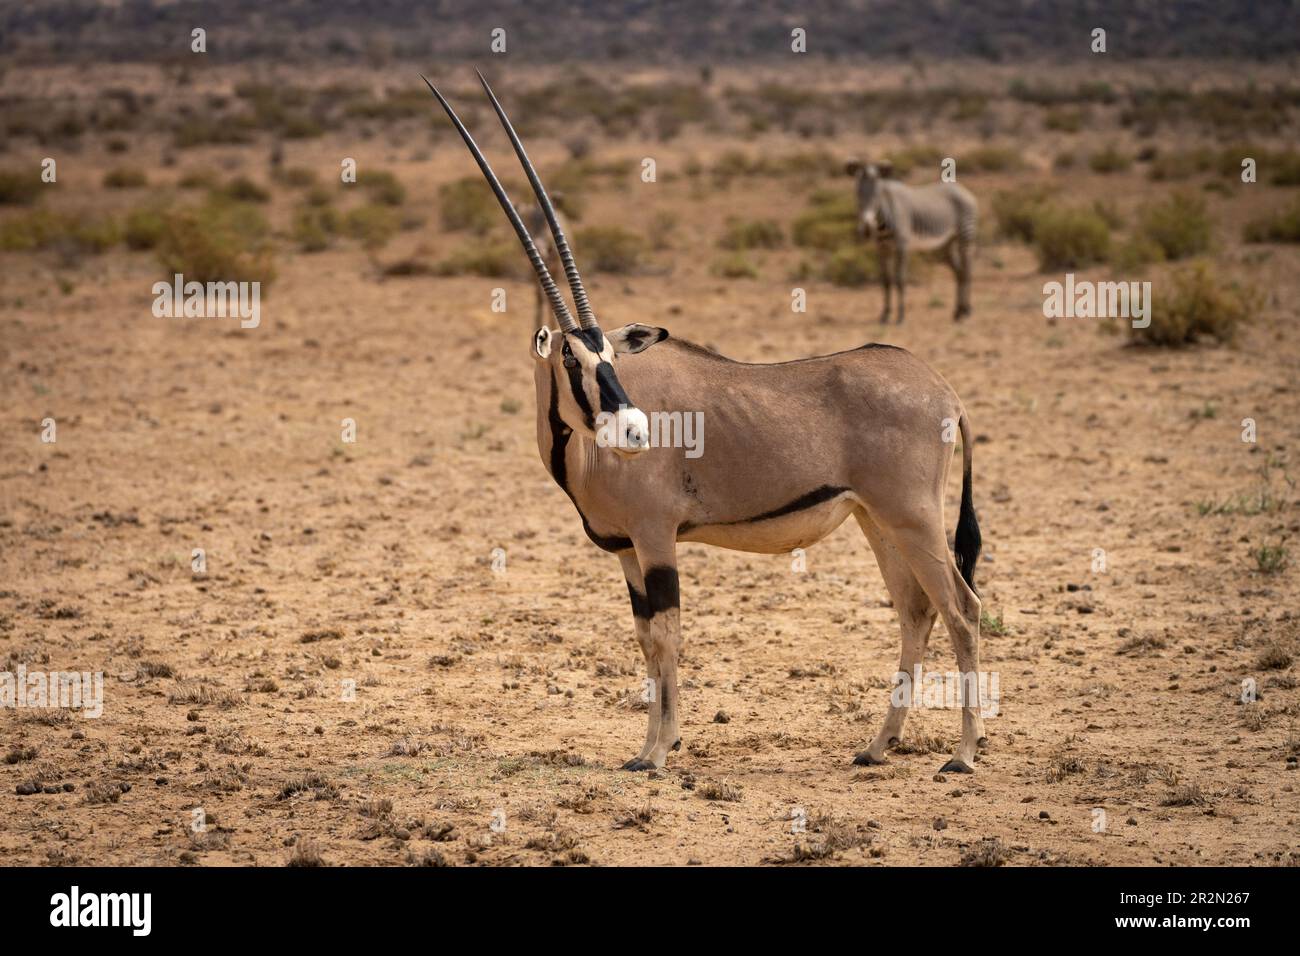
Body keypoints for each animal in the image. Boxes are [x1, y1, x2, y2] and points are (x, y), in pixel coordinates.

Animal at [842, 162, 977, 327]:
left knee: (967, 270)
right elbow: (885, 280)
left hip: (965, 234)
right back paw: (958, 312)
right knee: (959, 272)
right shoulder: (882, 248)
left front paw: (900, 317)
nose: (867, 229)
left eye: (877, 195)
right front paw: (885, 315)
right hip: (947, 243)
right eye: (857, 194)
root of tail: (962, 189)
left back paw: (967, 310)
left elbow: (900, 279)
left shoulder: (902, 246)